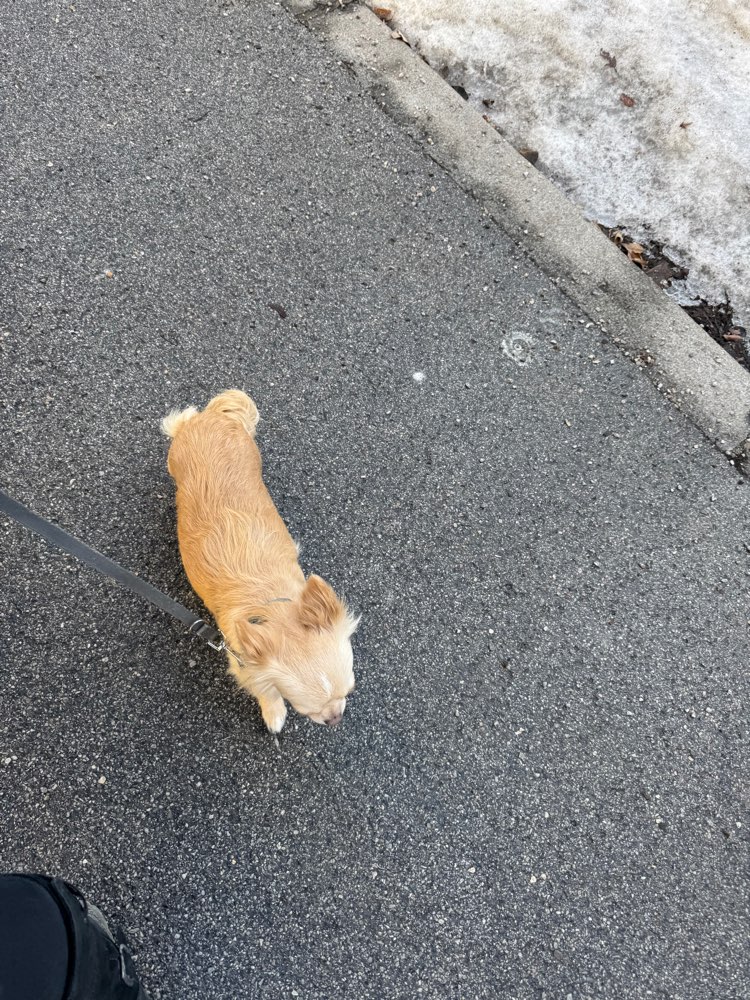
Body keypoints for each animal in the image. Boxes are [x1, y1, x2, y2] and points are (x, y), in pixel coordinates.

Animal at [161, 390, 357, 733]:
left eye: (349, 691)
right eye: (307, 710)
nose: (336, 718)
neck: (273, 606)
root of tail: (213, 417)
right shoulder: (242, 659)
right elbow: (265, 689)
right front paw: (274, 711)